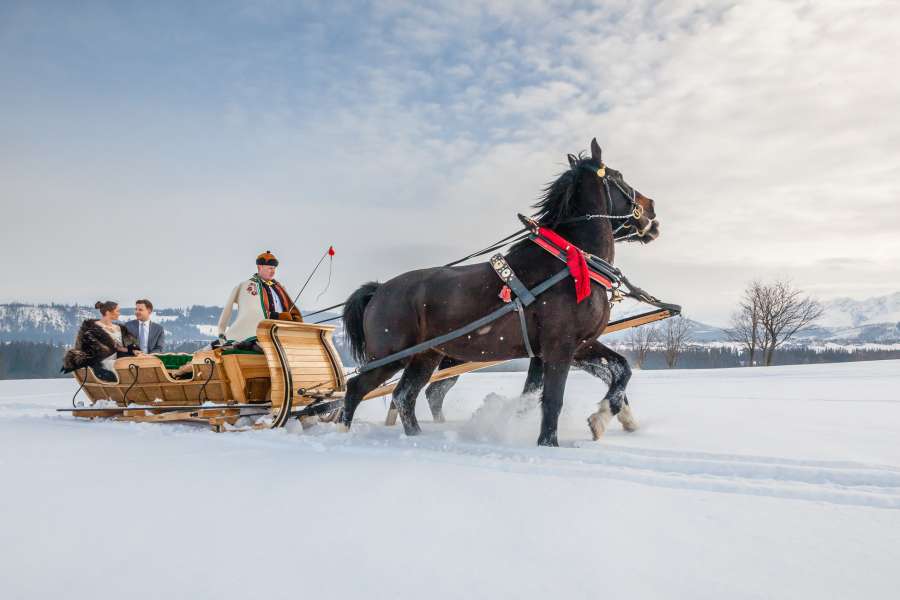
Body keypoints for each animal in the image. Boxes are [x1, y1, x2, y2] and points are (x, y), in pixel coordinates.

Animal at [342, 139, 656, 446]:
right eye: (619, 177)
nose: (652, 210)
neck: (569, 261)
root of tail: (380, 289)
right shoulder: (560, 346)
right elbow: (552, 401)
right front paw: (549, 442)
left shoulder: (578, 344)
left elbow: (620, 369)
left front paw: (602, 418)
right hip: (391, 356)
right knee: (356, 388)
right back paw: (343, 433)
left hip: (425, 357)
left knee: (404, 396)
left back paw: (417, 437)